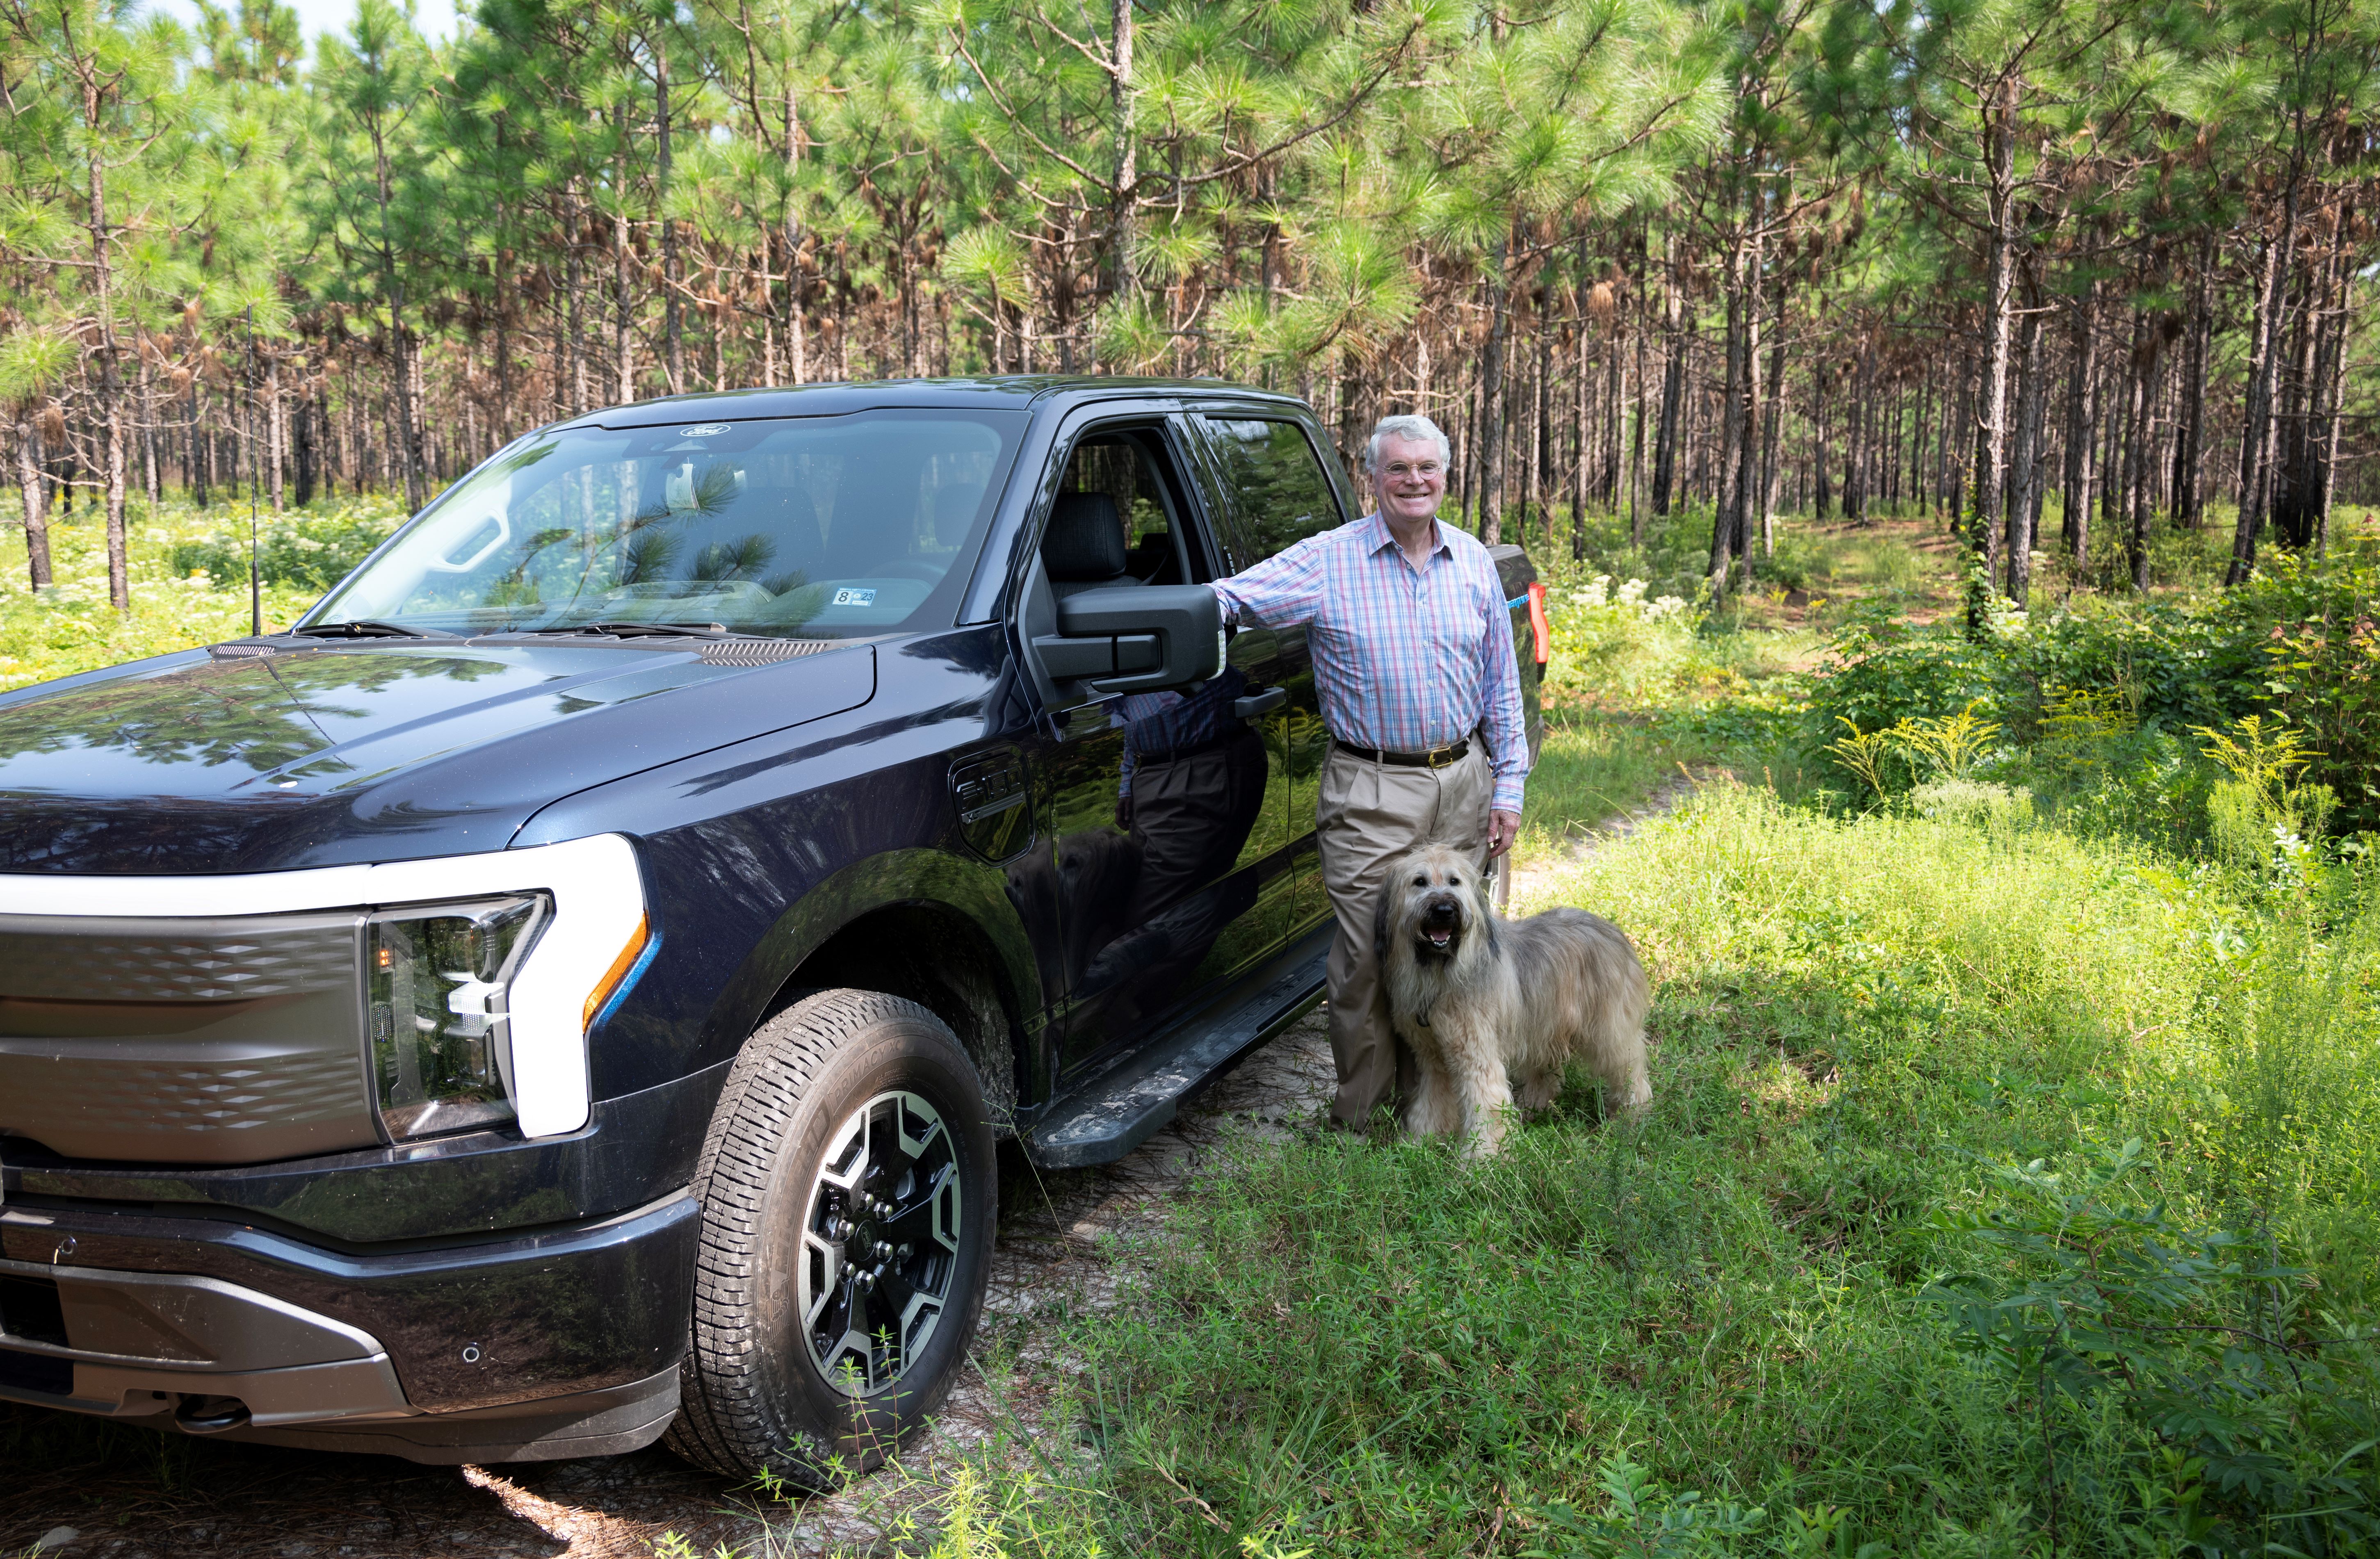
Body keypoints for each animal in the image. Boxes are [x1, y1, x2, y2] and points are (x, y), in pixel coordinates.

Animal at [1380, 842, 1656, 1157]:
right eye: (1419, 882)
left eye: (1454, 881)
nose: (1444, 910)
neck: (1441, 972)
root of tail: (1610, 927)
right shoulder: (1433, 1054)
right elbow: (1432, 1100)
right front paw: (1420, 1143)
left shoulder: (1477, 1051)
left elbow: (1486, 1104)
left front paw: (1484, 1158)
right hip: (1544, 1023)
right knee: (1547, 1073)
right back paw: (1531, 1108)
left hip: (1608, 1028)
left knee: (1628, 1067)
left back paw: (1632, 1115)